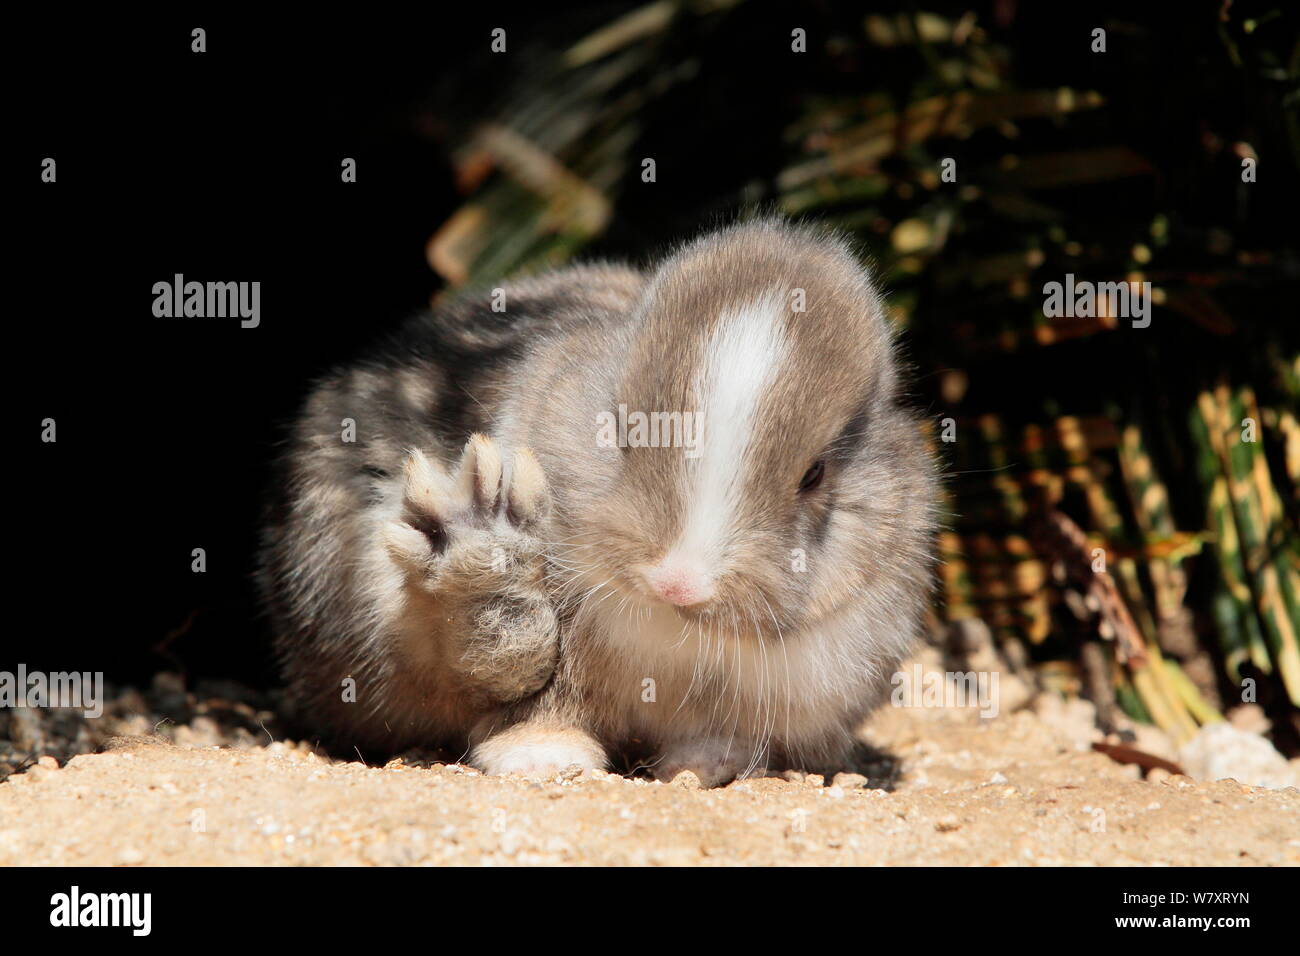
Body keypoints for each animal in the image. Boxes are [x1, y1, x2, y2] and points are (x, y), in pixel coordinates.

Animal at [261, 222, 935, 785]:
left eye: (815, 474)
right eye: (625, 427)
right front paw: (544, 759)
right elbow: (518, 693)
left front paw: (700, 769)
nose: (679, 580)